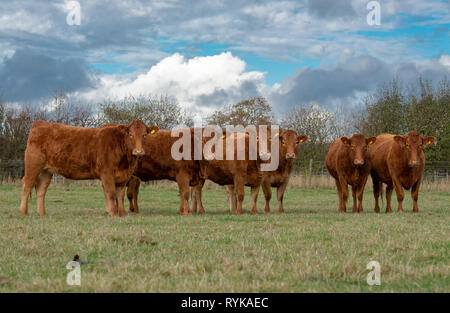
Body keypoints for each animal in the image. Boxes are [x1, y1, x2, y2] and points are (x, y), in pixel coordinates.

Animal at [19, 120, 158, 217]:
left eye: (145, 134)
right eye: (130, 134)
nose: (139, 151)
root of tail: (40, 123)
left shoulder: (123, 177)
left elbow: (120, 196)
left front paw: (123, 214)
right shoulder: (107, 174)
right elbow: (111, 194)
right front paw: (113, 214)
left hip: (46, 171)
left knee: (41, 189)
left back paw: (42, 213)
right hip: (33, 166)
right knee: (27, 185)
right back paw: (24, 212)